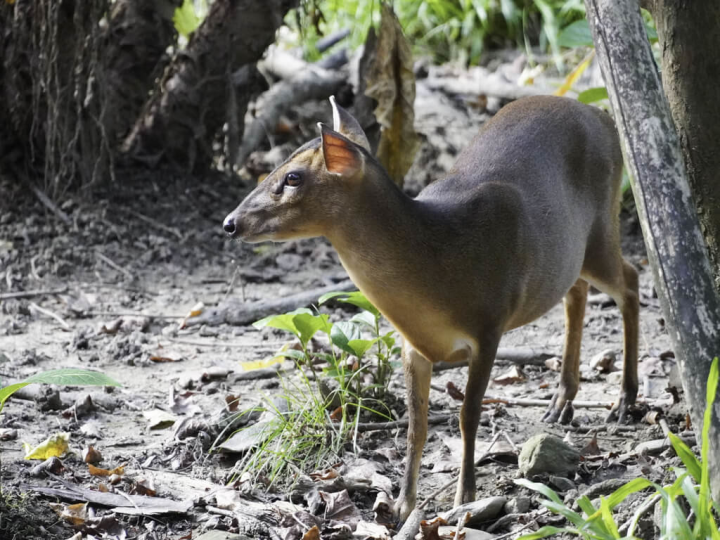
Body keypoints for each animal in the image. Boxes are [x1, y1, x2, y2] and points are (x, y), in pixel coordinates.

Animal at [223, 95, 639, 521]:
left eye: (292, 178)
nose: (230, 223)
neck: (439, 267)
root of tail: (603, 116)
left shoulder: (489, 325)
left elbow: (467, 415)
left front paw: (464, 498)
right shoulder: (413, 346)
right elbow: (415, 425)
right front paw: (402, 505)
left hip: (601, 228)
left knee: (631, 280)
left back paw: (624, 400)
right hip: (569, 255)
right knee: (578, 291)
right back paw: (561, 401)